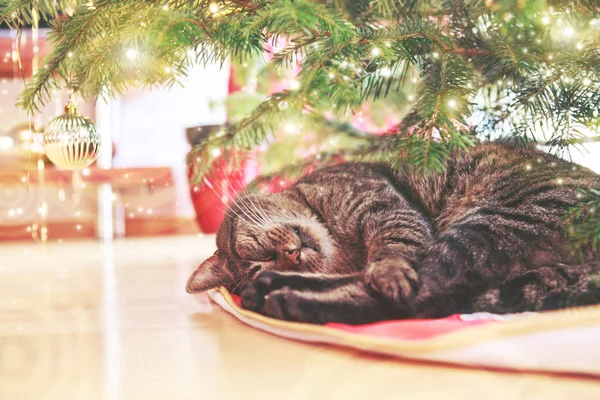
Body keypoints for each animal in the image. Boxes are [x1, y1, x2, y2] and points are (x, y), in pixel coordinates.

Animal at [185, 142, 600, 324]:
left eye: (254, 250)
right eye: (259, 259)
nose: (290, 256)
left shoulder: (385, 209)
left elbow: (391, 254)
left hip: (489, 225)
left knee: (420, 294)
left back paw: (286, 298)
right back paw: (275, 290)